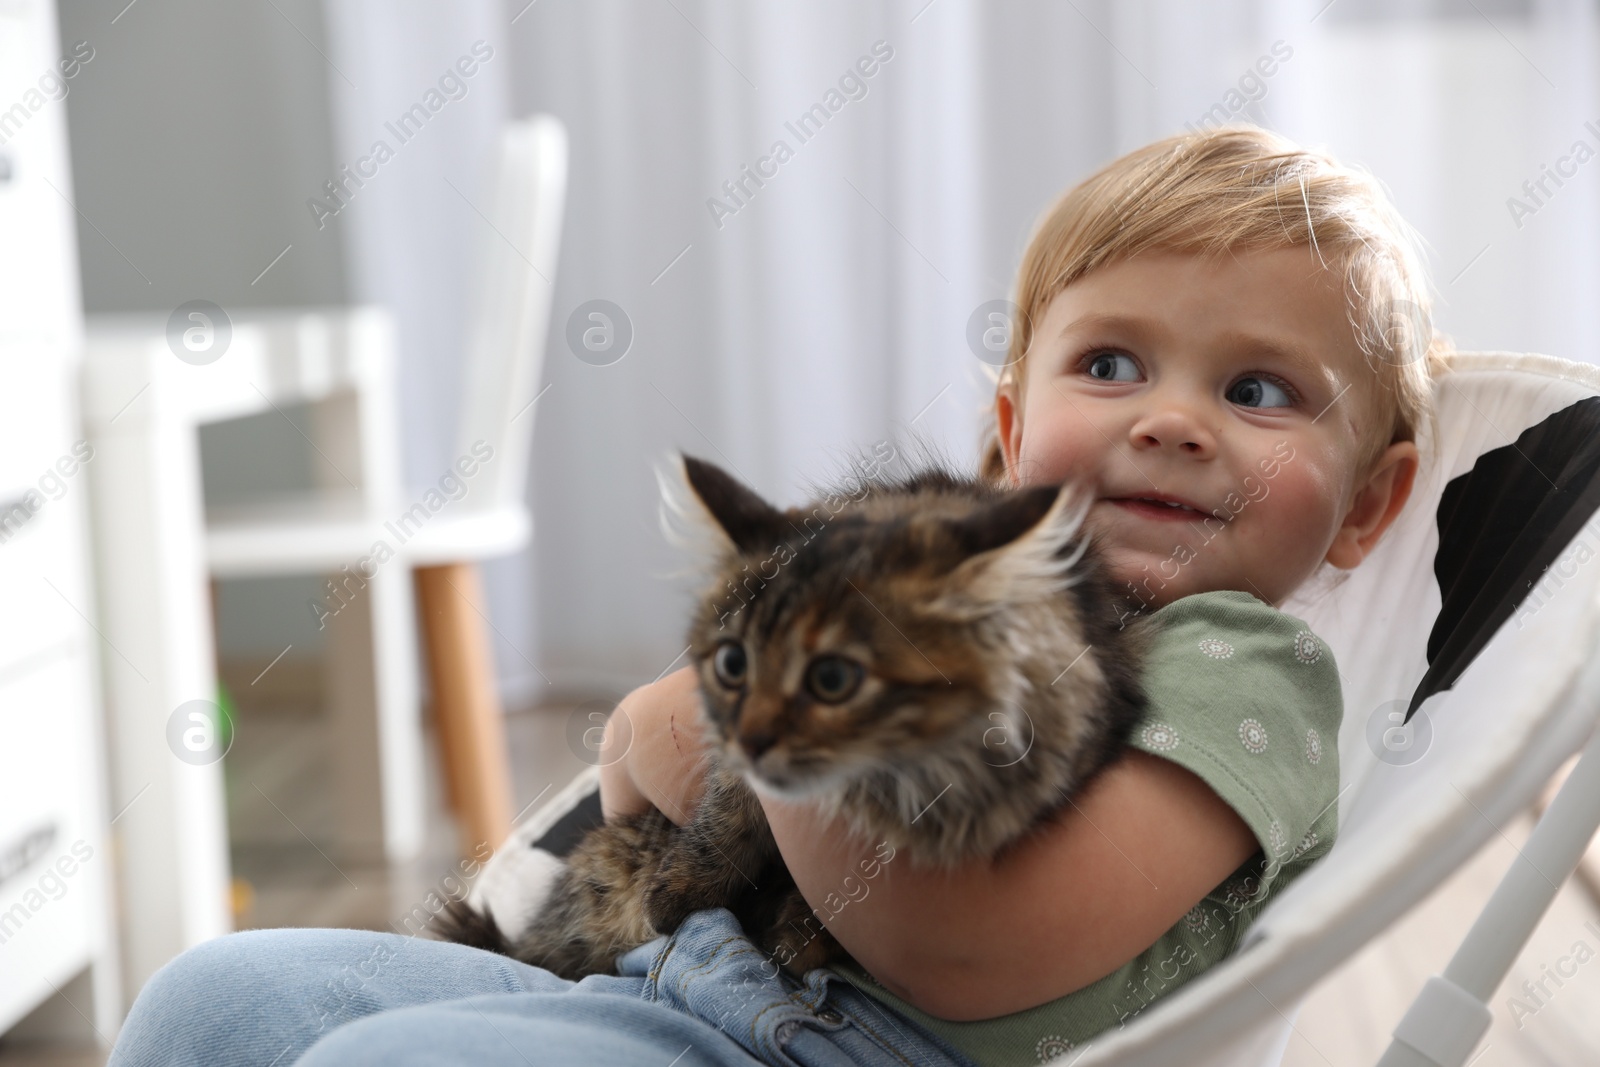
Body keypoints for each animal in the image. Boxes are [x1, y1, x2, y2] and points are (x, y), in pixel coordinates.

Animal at [438, 447, 1152, 979]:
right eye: (733, 664)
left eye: (832, 679)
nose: (755, 736)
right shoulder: (731, 768)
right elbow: (726, 815)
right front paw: (678, 894)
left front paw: (801, 933)